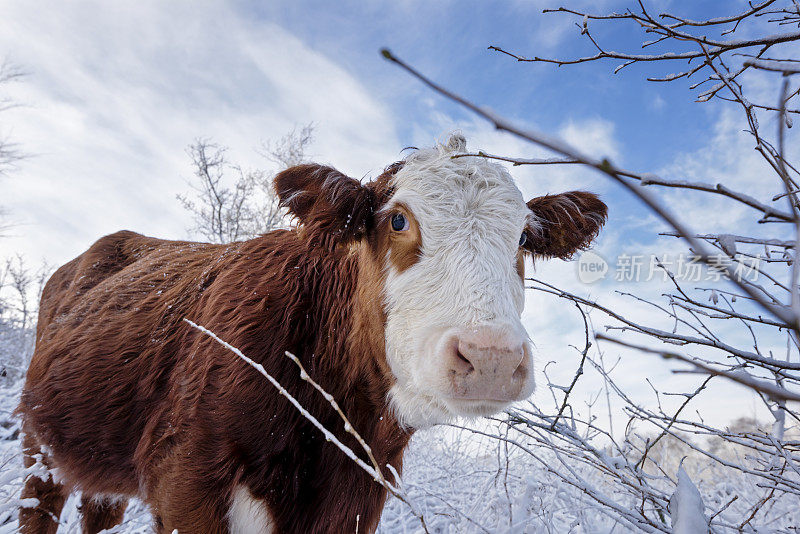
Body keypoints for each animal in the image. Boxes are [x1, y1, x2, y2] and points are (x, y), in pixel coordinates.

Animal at [15, 136, 608, 532]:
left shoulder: (357, 501)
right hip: (39, 445)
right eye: (397, 220)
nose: (489, 357)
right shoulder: (183, 481)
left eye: (524, 237)